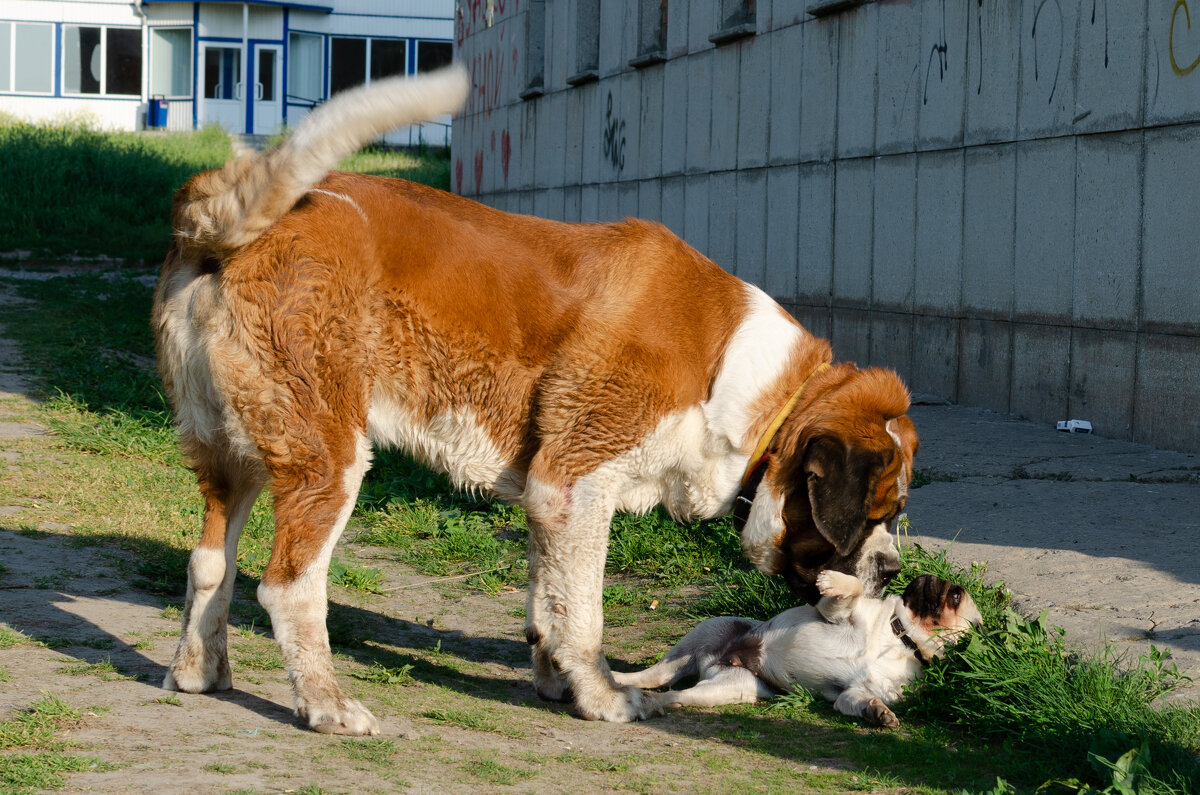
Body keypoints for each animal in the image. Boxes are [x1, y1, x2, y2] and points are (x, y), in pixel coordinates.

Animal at [150, 65, 916, 739]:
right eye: (876, 514)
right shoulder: (575, 482)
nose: (893, 571)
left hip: (234, 453)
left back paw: (198, 672)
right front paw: (603, 697)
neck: (749, 386)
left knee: (210, 560)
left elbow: (550, 598)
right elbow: (585, 615)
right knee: (287, 586)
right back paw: (327, 706)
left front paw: (556, 682)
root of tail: (214, 212)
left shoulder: (555, 500)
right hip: (328, 457)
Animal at [614, 574, 979, 730]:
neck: (900, 639)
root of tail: (716, 662)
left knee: (674, 695)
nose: (927, 577)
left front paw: (877, 714)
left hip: (726, 688)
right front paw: (833, 579)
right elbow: (853, 587)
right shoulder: (838, 612)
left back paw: (649, 702)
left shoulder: (850, 693)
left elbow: (858, 702)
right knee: (653, 675)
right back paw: (619, 680)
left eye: (955, 597)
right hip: (701, 636)